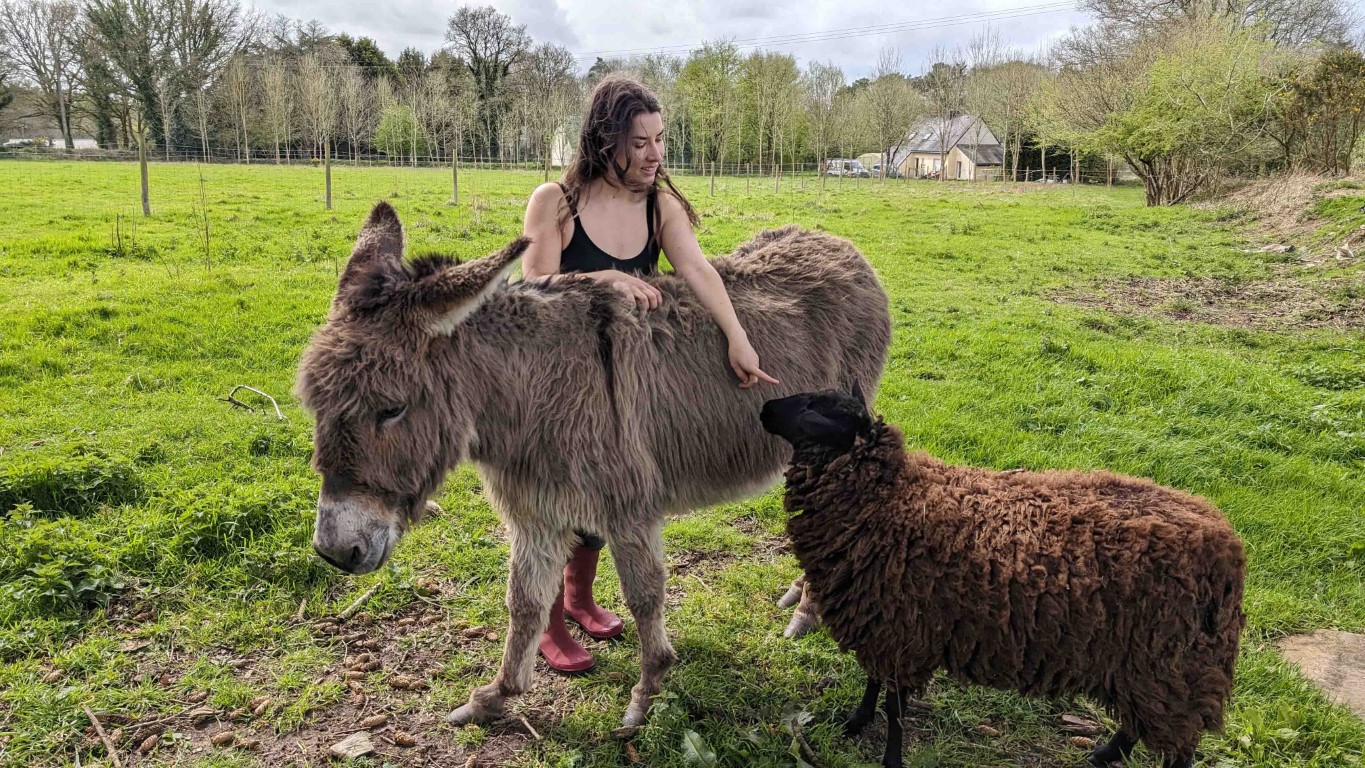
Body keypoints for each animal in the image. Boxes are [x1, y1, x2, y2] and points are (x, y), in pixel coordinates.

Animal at [758, 390, 1250, 768]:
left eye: (817, 410)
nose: (764, 408)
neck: (891, 497)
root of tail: (1229, 547)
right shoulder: (880, 622)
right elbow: (873, 684)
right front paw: (854, 724)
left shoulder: (902, 628)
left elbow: (894, 708)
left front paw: (889, 758)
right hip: (1144, 667)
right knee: (1138, 723)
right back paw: (1102, 756)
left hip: (1170, 665)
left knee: (1177, 749)